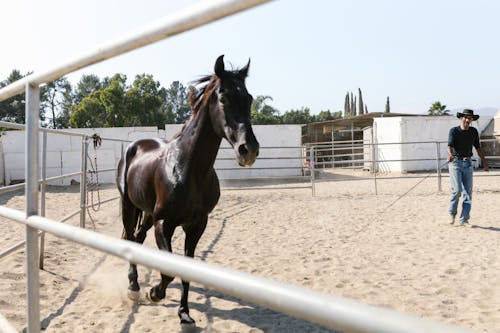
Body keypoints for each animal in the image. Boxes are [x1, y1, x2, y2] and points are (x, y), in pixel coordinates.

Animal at [115, 55, 260, 322]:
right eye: (223, 97)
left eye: (249, 98)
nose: (249, 149)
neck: (188, 169)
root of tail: (134, 146)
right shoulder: (164, 223)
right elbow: (169, 271)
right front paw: (155, 293)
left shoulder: (197, 225)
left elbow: (186, 270)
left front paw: (184, 313)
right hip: (128, 206)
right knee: (130, 238)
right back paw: (134, 287)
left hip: (147, 213)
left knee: (138, 239)